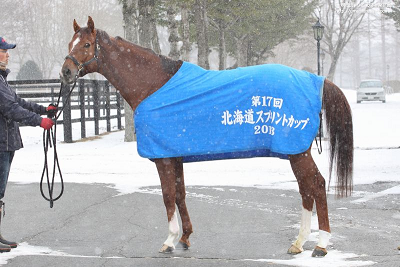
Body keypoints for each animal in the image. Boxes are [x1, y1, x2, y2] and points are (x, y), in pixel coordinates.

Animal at [60, 17, 354, 260]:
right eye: (70, 43)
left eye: (87, 44)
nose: (66, 72)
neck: (154, 85)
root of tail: (316, 79)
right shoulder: (175, 155)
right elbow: (180, 194)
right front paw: (186, 237)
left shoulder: (163, 158)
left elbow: (167, 196)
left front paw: (169, 240)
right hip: (295, 152)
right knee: (306, 189)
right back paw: (299, 242)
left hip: (296, 150)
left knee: (316, 185)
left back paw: (320, 245)